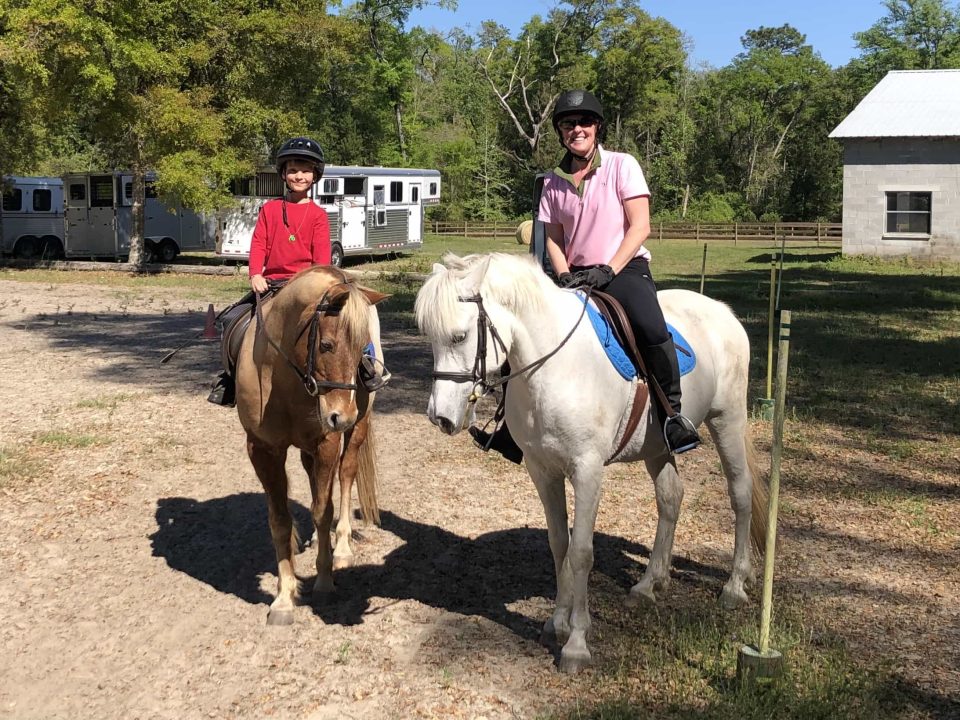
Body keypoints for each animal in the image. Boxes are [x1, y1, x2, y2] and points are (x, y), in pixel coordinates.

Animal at [236, 265, 387, 625]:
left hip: (357, 428)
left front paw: (324, 579)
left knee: (345, 476)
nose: (341, 416)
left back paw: (341, 546)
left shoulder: (326, 443)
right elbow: (280, 519)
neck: (283, 378)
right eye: (327, 345)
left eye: (362, 349)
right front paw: (283, 598)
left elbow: (322, 508)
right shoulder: (262, 450)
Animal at [414, 252, 767, 673]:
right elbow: (559, 545)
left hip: (727, 419)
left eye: (460, 336)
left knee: (740, 493)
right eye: (430, 337)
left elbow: (582, 552)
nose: (439, 417)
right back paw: (650, 584)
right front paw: (556, 623)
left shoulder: (587, 470)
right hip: (657, 447)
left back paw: (734, 586)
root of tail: (721, 311)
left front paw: (577, 643)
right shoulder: (542, 470)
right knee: (671, 498)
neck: (554, 366)